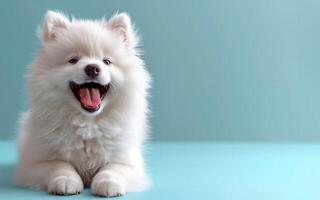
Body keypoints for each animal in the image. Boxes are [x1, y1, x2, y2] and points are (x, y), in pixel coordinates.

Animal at [15, 10, 153, 197]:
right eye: (73, 60)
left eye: (106, 61)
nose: (92, 68)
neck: (88, 123)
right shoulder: (36, 163)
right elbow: (60, 166)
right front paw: (66, 181)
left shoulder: (127, 161)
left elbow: (113, 168)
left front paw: (108, 184)